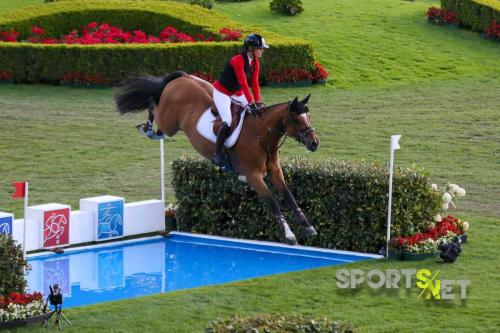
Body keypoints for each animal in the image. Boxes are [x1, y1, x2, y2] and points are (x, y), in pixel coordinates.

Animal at [115, 71, 320, 244]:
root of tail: (182, 77)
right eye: (297, 119)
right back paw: (148, 129)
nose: (314, 143)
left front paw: (308, 227)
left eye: (309, 117)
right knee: (153, 104)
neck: (261, 135)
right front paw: (289, 234)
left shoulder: (275, 172)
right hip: (170, 123)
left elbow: (289, 196)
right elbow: (274, 203)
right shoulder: (254, 177)